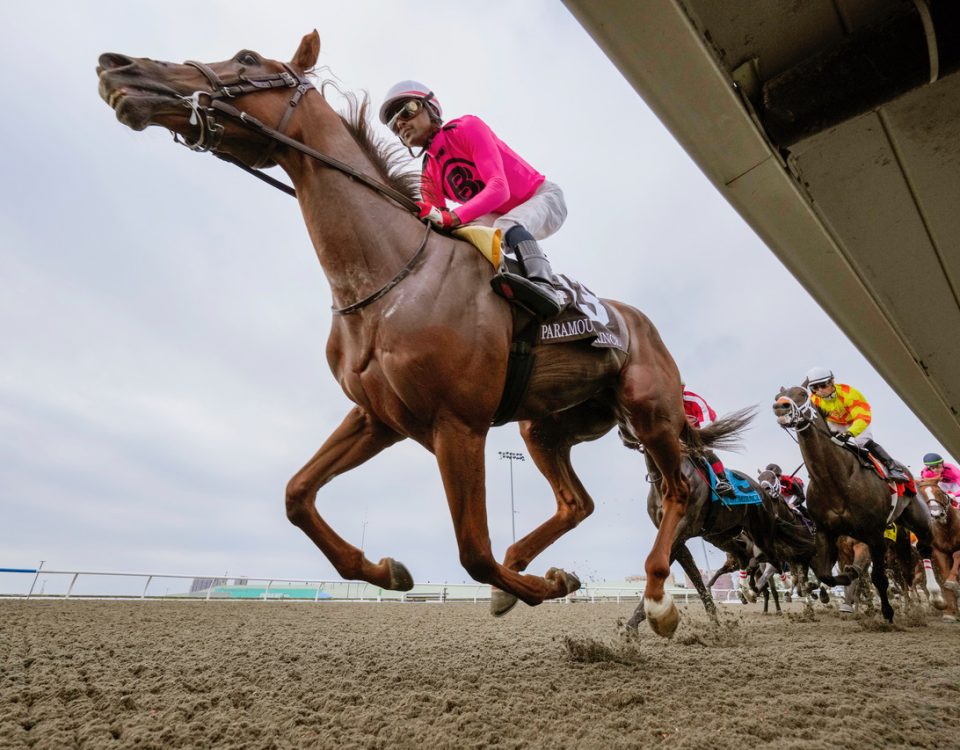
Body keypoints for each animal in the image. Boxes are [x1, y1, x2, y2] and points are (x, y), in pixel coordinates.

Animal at [95, 32, 696, 636]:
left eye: (246, 59)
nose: (116, 67)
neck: (390, 275)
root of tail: (642, 324)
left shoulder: (459, 424)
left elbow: (474, 552)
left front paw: (544, 586)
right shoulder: (378, 416)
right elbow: (297, 495)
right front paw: (388, 571)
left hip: (650, 412)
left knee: (679, 489)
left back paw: (657, 598)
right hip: (545, 427)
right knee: (577, 503)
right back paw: (529, 569)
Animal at [772, 388, 936, 624]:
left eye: (802, 393)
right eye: (778, 397)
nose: (780, 407)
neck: (835, 479)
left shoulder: (873, 535)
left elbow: (879, 578)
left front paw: (887, 613)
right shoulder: (826, 532)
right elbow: (826, 574)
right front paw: (847, 579)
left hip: (914, 522)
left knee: (919, 555)